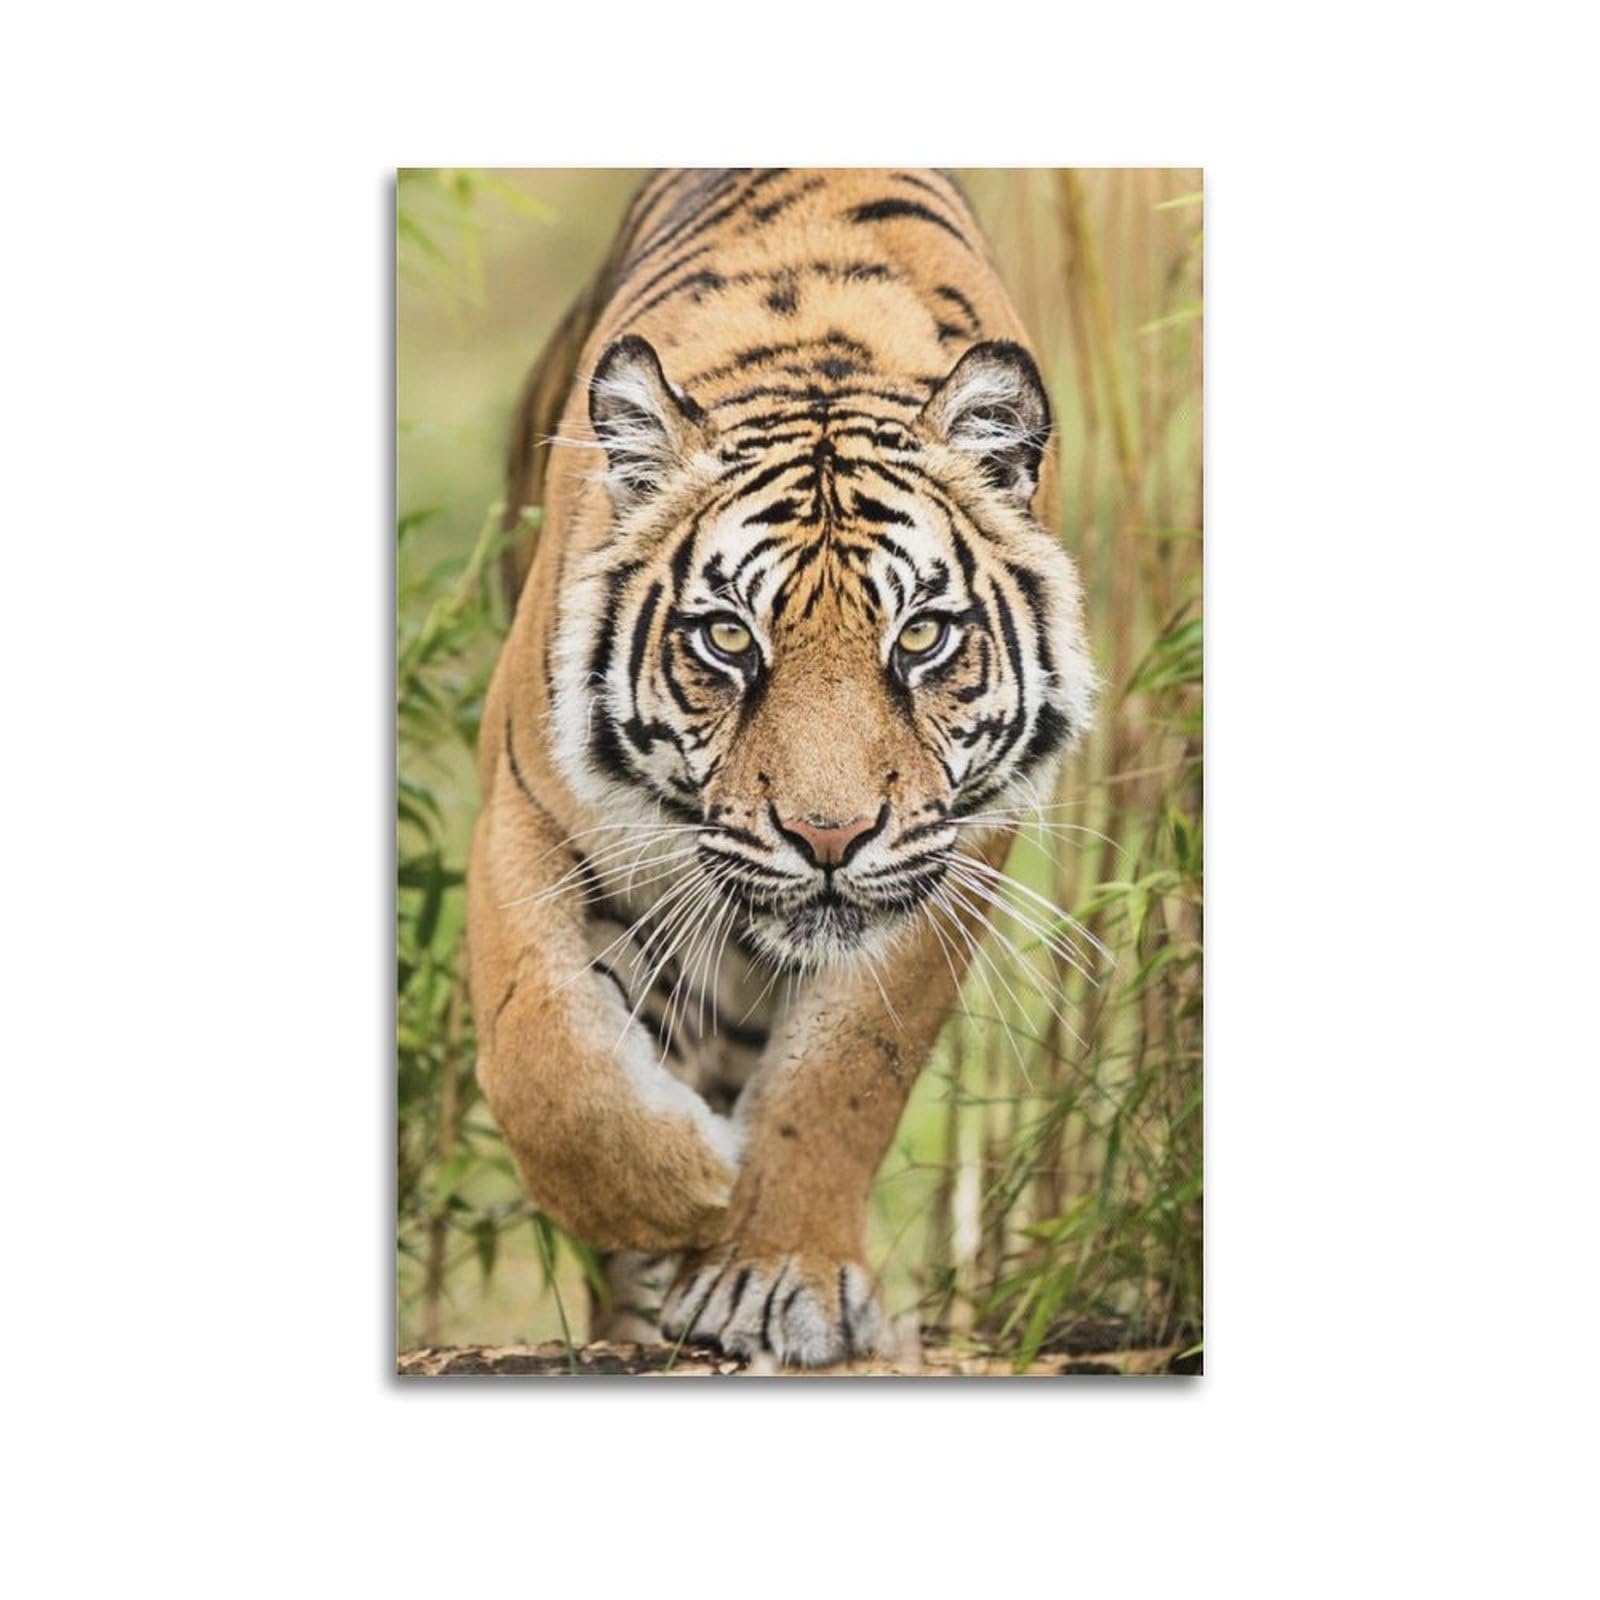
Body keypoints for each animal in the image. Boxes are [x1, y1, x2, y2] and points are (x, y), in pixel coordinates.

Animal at [467, 169, 1094, 1366]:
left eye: (920, 635)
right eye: (727, 637)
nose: (828, 838)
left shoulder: (952, 854)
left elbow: (845, 1069)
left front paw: (770, 1271)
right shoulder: (526, 806)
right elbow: (548, 1056)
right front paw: (683, 1190)